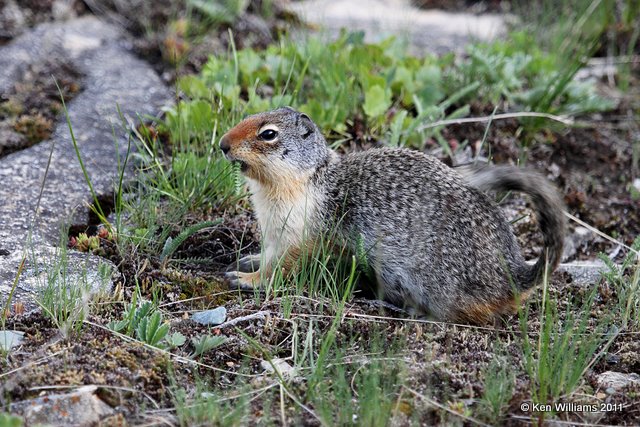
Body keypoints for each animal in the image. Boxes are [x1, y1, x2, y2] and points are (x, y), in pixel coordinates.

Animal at [219, 107, 564, 324]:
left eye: (268, 134)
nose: (222, 144)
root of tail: (514, 274)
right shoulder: (274, 231)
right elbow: (267, 254)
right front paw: (248, 261)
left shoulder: (301, 234)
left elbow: (281, 266)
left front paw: (246, 279)